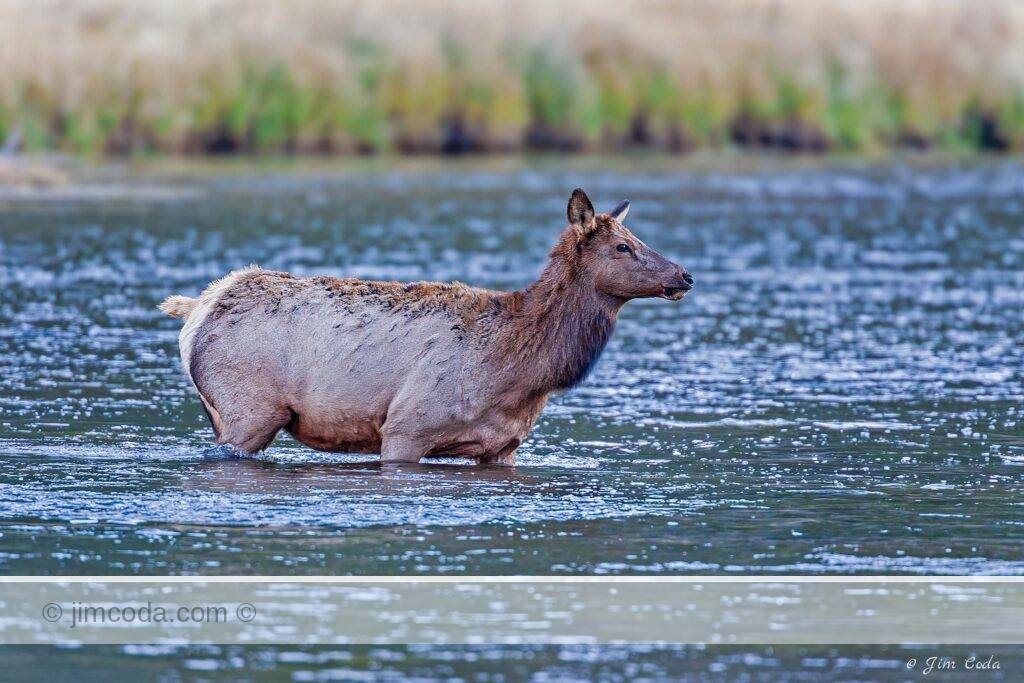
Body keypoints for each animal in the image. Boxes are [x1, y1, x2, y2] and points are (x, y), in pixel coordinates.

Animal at [160, 189, 693, 466]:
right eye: (623, 246)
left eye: (635, 236)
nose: (684, 275)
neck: (521, 371)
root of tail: (199, 307)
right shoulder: (406, 427)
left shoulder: (504, 447)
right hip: (248, 409)